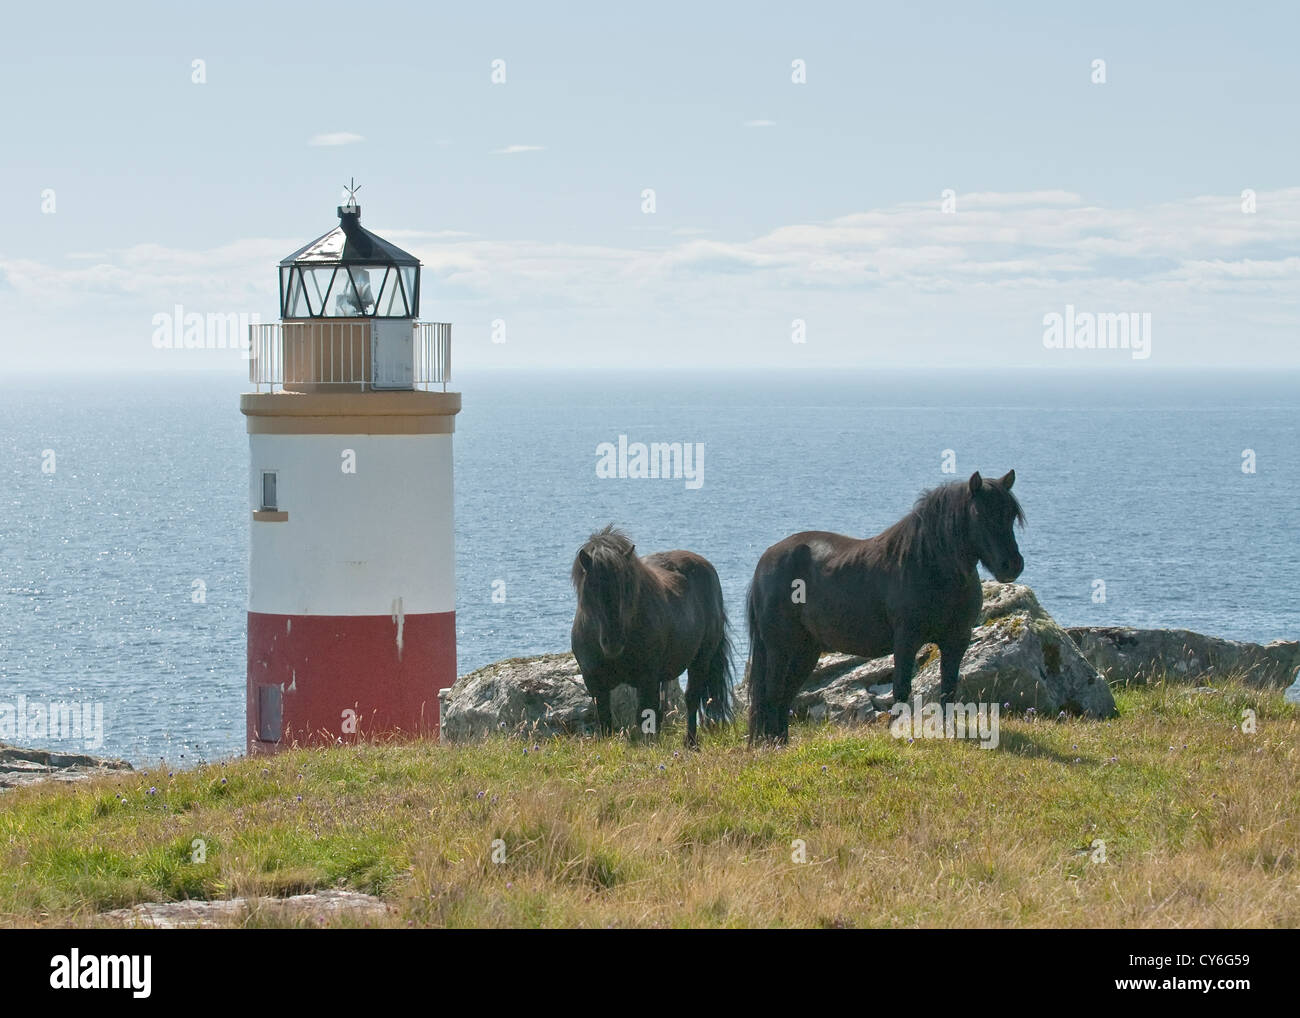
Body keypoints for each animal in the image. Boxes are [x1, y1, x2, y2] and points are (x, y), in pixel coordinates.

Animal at [569, 530, 733, 743]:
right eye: (592, 588)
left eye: (626, 586)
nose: (613, 641)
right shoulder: (595, 683)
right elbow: (605, 719)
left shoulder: (647, 679)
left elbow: (644, 716)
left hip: (701, 660)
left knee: (691, 698)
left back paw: (690, 742)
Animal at [748, 473, 1019, 743]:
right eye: (979, 513)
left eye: (1011, 514)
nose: (1012, 565)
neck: (929, 565)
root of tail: (766, 560)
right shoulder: (906, 639)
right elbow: (901, 689)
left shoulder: (957, 640)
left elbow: (949, 689)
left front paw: (948, 733)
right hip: (780, 648)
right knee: (772, 693)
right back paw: (772, 743)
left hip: (805, 651)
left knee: (785, 695)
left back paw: (781, 742)